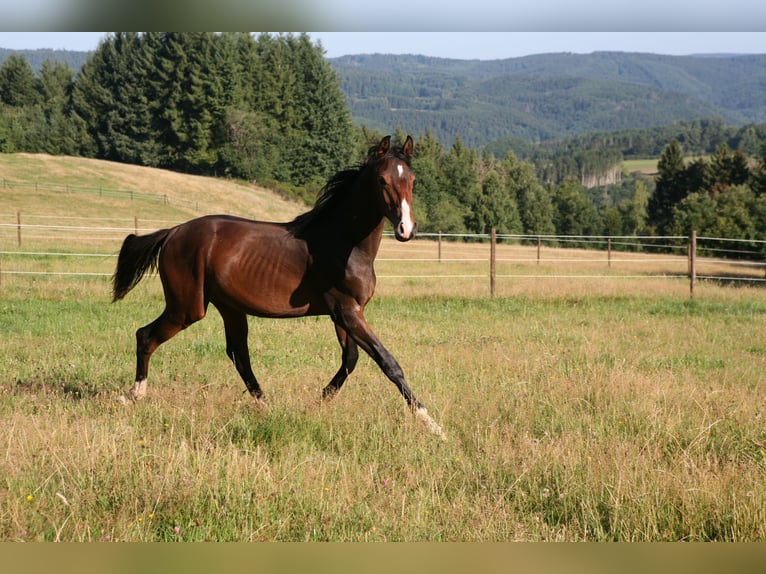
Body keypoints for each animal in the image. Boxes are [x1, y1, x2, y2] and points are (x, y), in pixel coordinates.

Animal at [111, 135, 443, 436]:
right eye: (382, 180)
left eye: (412, 180)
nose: (406, 230)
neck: (345, 243)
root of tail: (172, 233)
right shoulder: (346, 310)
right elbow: (387, 362)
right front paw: (431, 423)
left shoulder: (345, 313)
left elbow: (350, 360)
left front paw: (314, 404)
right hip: (187, 308)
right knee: (146, 336)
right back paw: (134, 396)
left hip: (229, 308)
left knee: (239, 355)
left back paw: (266, 407)